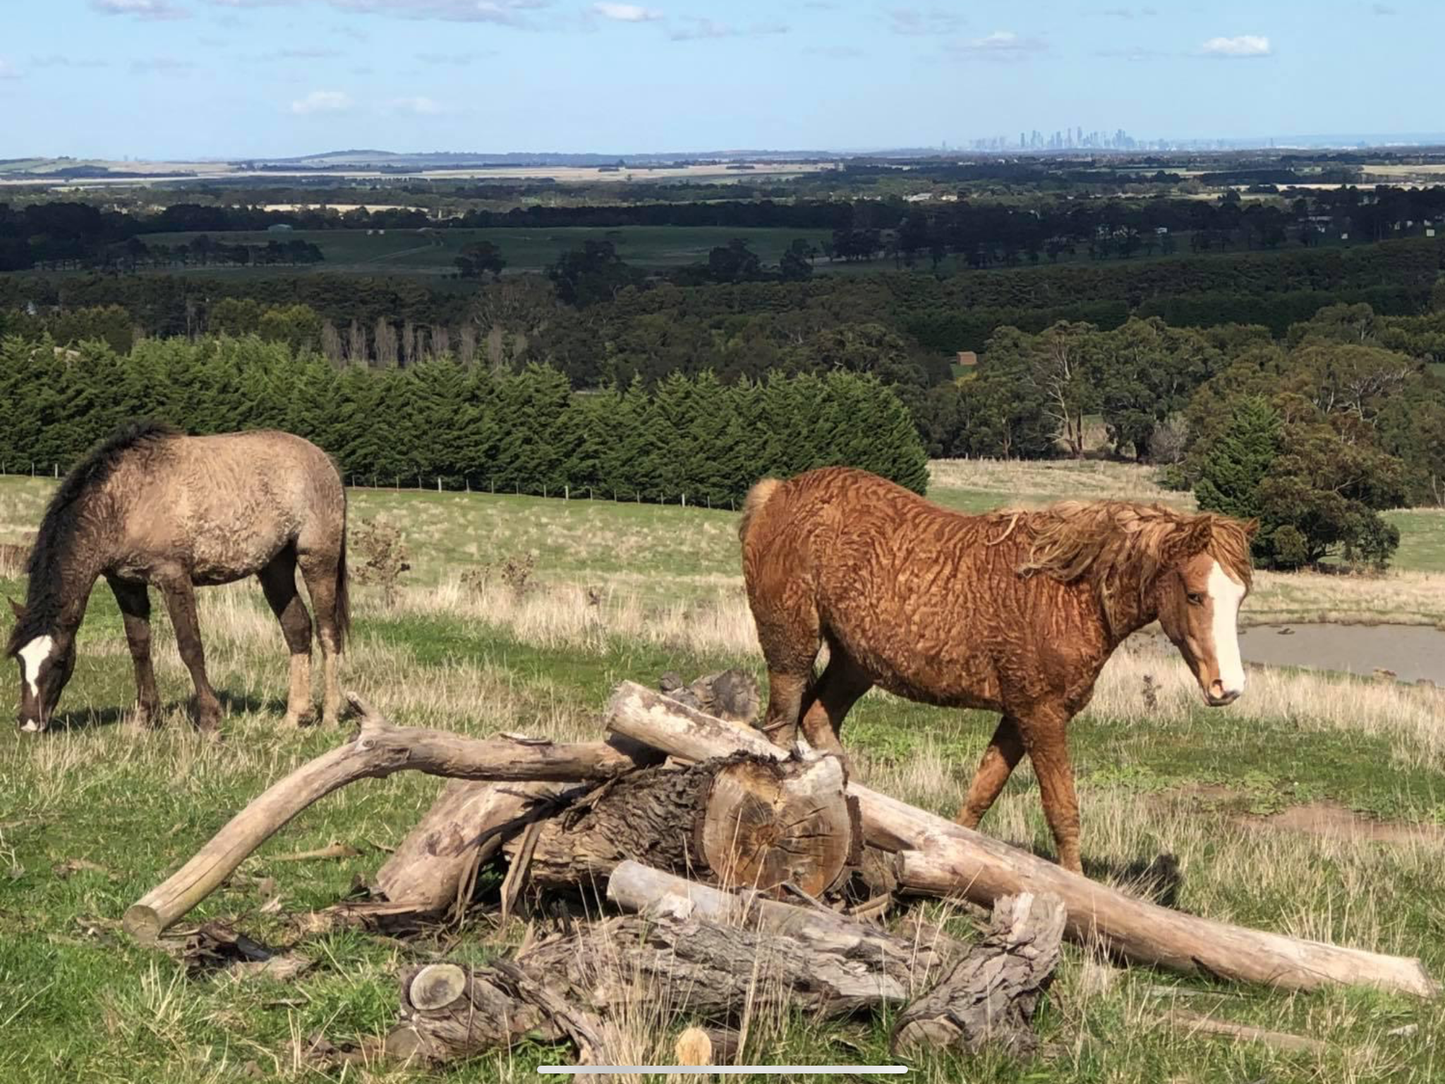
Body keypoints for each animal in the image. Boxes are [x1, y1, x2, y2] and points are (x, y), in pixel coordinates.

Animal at [7, 419, 351, 734]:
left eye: (59, 661)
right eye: (20, 660)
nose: (29, 724)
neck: (122, 502)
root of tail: (326, 460)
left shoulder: (173, 578)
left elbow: (190, 646)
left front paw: (210, 720)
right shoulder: (126, 583)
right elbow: (139, 646)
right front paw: (144, 719)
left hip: (317, 560)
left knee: (328, 633)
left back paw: (331, 717)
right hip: (274, 567)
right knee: (298, 629)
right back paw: (295, 717)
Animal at [739, 468, 1260, 872]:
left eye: (1240, 596)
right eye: (1194, 594)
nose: (1228, 687)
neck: (1066, 592)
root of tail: (777, 491)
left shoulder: (1019, 717)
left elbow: (980, 795)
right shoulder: (1041, 716)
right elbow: (1062, 811)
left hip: (855, 664)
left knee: (818, 720)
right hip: (792, 649)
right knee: (782, 728)